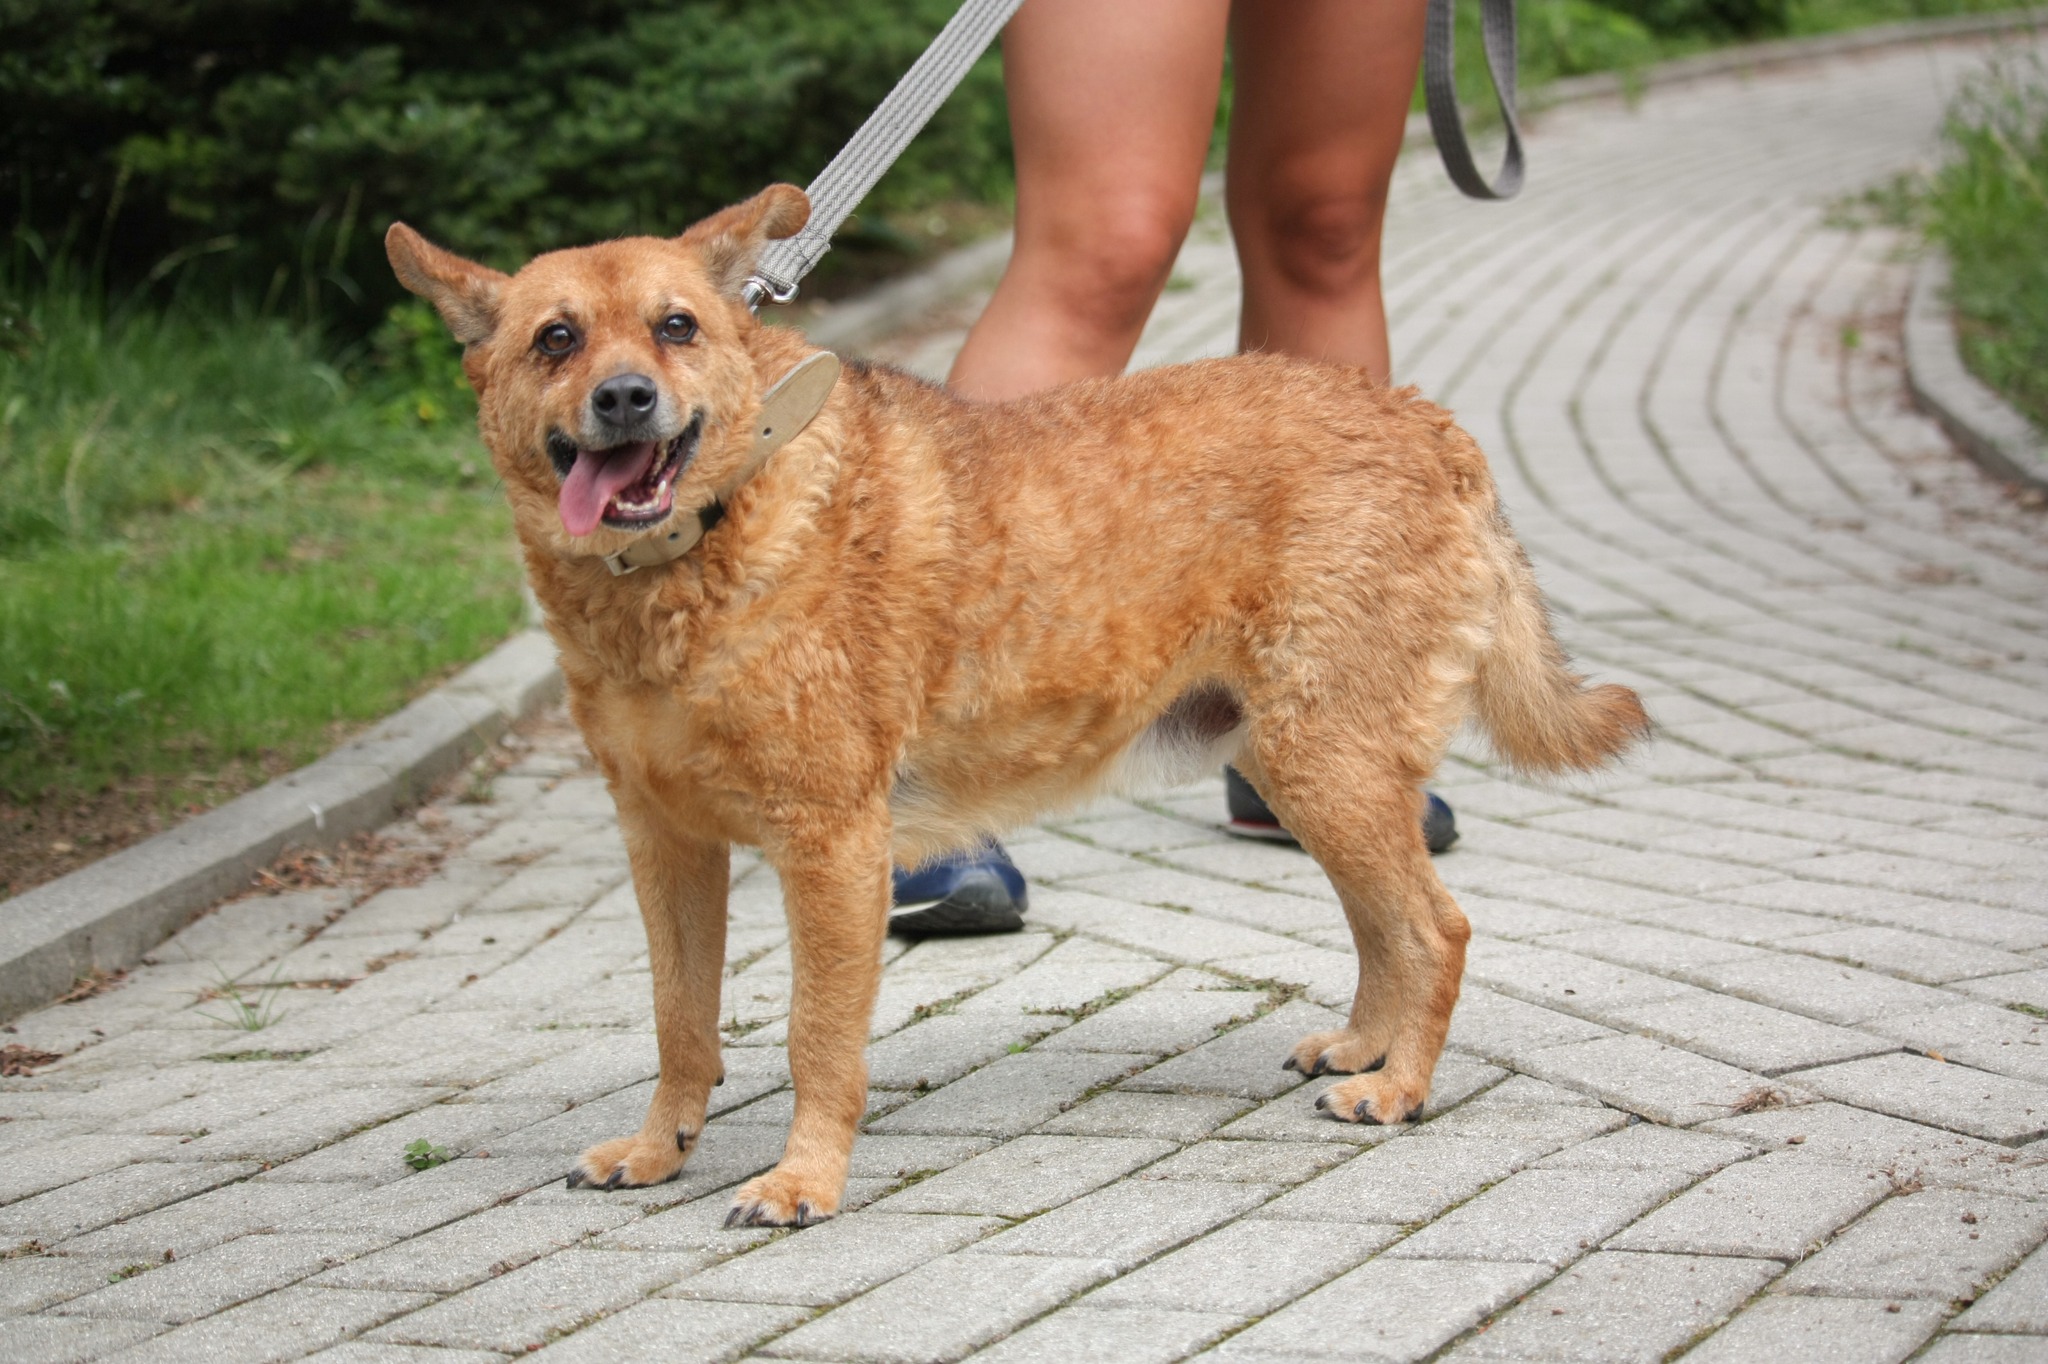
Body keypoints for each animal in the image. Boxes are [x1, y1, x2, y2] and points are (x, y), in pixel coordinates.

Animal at [386, 184, 1648, 1227]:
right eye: (556, 338)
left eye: (676, 326)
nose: (624, 396)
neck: (698, 552)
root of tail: (1422, 417)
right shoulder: (666, 845)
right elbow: (679, 1020)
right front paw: (659, 1148)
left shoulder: (830, 849)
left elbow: (814, 1038)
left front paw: (803, 1180)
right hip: (1304, 772)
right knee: (1386, 925)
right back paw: (1362, 1053)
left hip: (1322, 762)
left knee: (1435, 927)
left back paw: (1401, 1089)